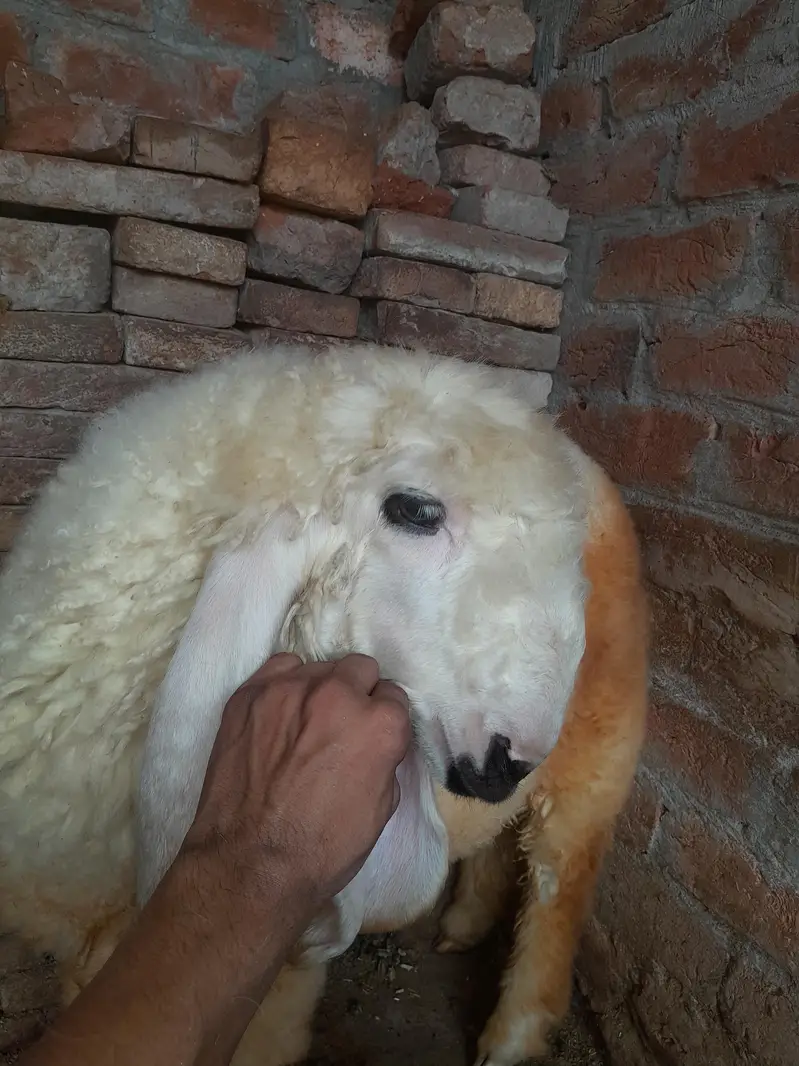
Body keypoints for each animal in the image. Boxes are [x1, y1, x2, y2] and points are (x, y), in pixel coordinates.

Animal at [0, 342, 648, 1066]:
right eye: (415, 510)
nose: (511, 758)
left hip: (601, 747)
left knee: (558, 879)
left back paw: (513, 1034)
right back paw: (463, 923)